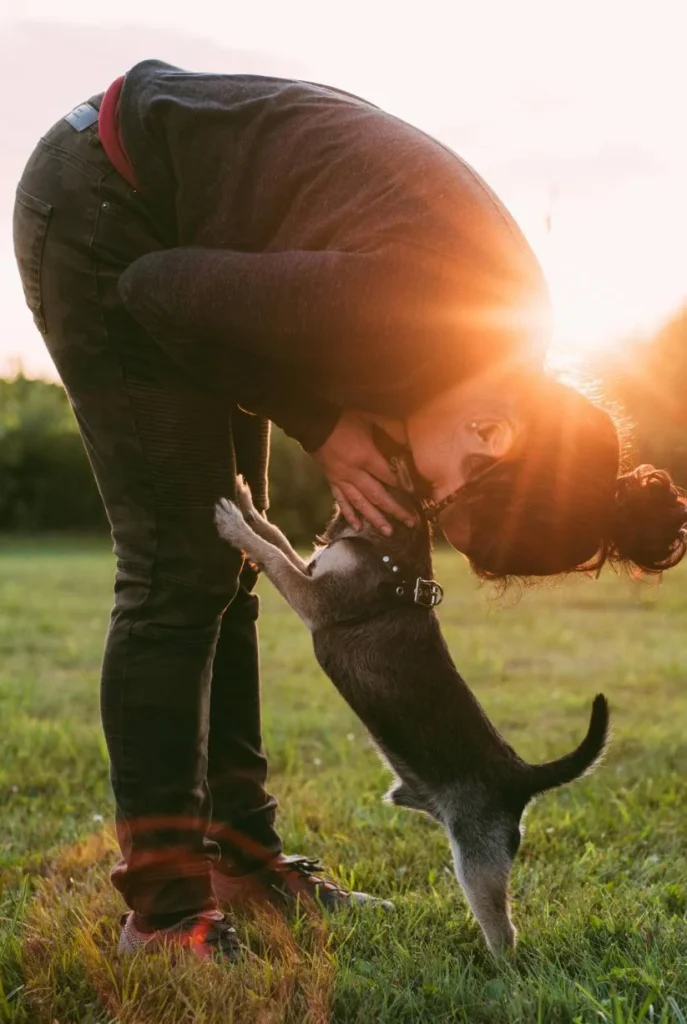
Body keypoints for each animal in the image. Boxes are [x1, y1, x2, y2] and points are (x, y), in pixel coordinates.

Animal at [213, 468, 606, 954]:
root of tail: (521, 776)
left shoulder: (313, 597)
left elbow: (271, 555)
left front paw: (235, 526)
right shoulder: (310, 571)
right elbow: (276, 537)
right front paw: (248, 505)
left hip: (477, 860)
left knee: (504, 931)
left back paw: (498, 967)